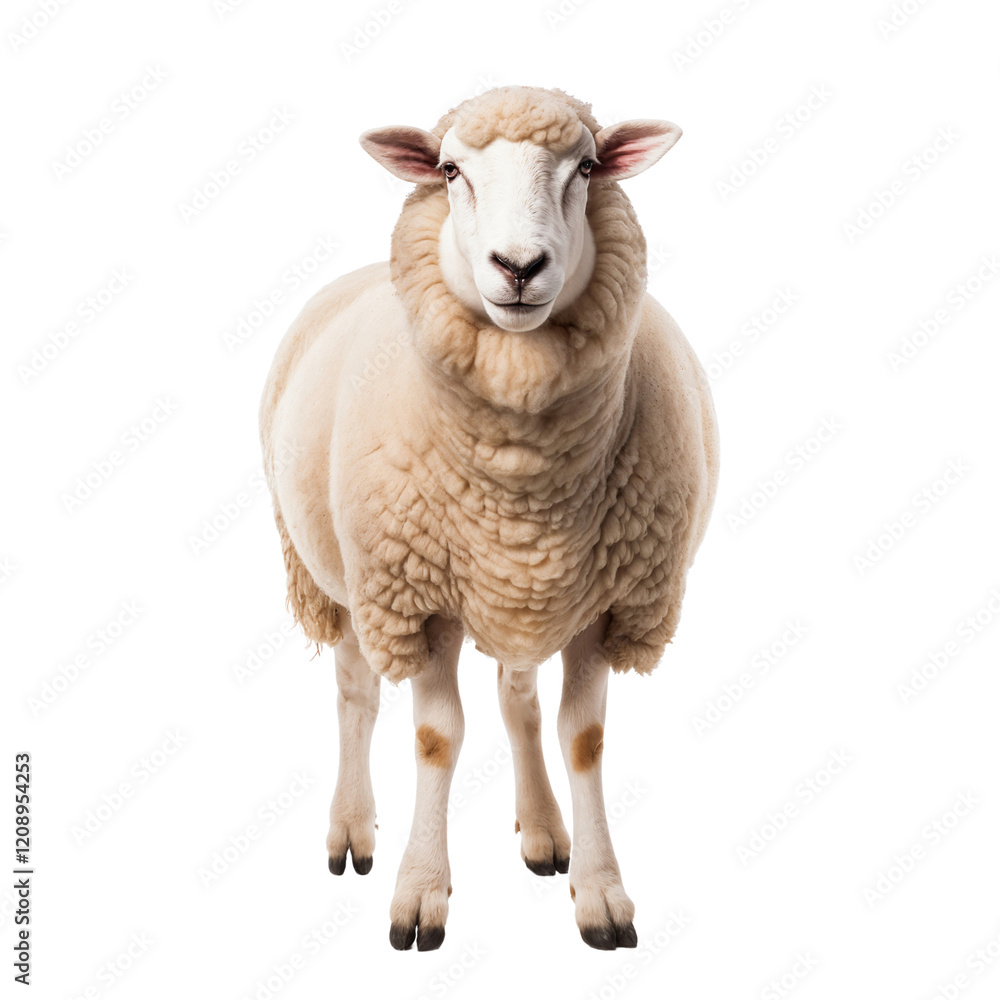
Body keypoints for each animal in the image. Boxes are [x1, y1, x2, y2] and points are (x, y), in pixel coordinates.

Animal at [259, 85, 719, 952]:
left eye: (587, 167)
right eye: (449, 171)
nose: (519, 267)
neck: (521, 486)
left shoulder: (600, 602)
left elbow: (582, 740)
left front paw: (600, 893)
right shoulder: (416, 600)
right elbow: (436, 738)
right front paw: (419, 895)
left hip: (522, 591)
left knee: (517, 697)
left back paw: (542, 831)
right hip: (340, 578)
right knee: (355, 693)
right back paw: (352, 830)